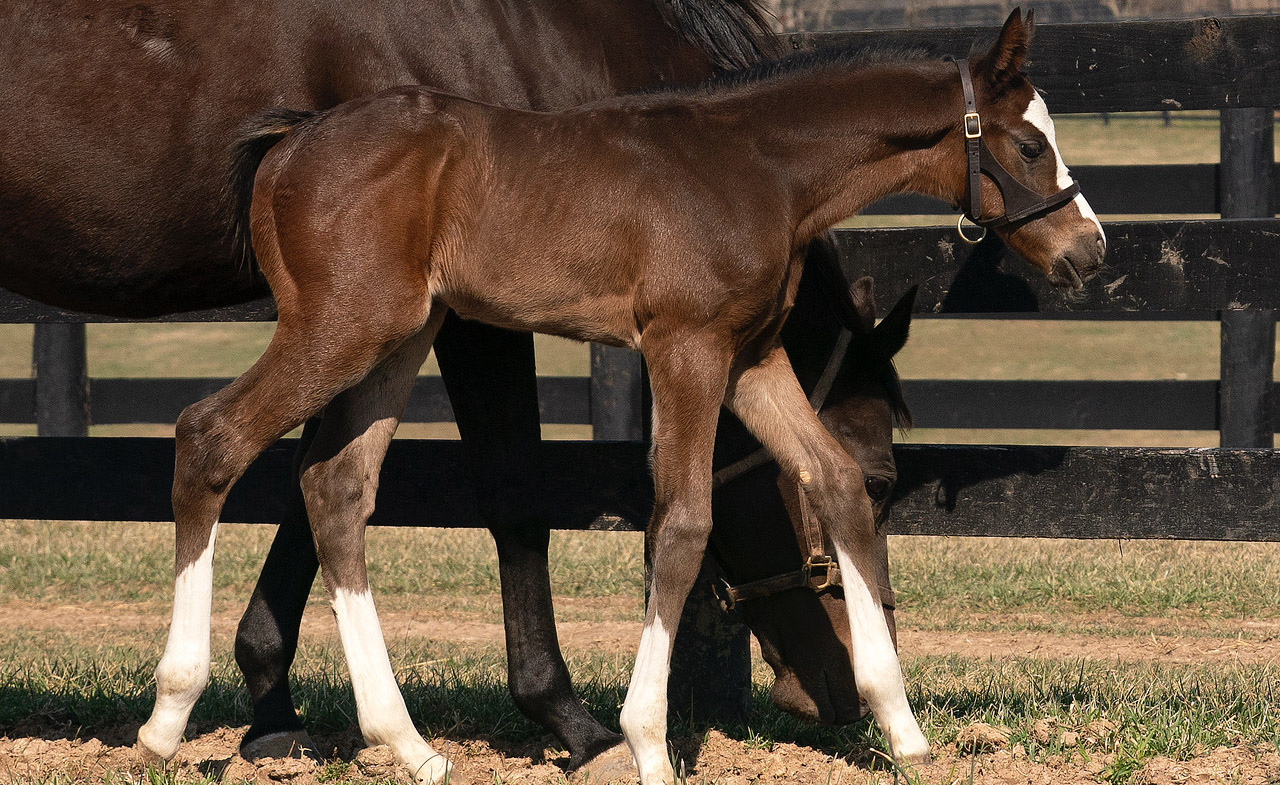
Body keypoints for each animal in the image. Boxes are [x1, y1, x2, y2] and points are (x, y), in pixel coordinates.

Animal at [1, 0, 904, 778]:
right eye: (883, 484)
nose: (842, 696)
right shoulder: (471, 317)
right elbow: (511, 495)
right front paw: (575, 722)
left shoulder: (390, 311)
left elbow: (320, 485)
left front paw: (274, 710)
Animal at [140, 8, 1104, 783]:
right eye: (1028, 145)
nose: (1088, 249)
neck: (757, 169)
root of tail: (288, 144)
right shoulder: (686, 348)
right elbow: (681, 522)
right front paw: (644, 741)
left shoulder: (751, 357)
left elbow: (823, 482)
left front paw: (902, 729)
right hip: (341, 327)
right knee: (209, 436)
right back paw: (165, 718)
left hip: (400, 336)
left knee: (335, 486)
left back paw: (407, 744)